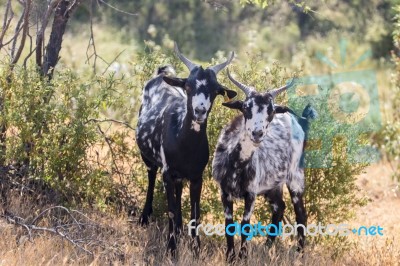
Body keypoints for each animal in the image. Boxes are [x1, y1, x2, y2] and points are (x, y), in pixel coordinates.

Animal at [136, 43, 236, 254]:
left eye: (215, 90)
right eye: (189, 86)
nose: (200, 111)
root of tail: (161, 74)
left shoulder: (197, 176)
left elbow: (195, 213)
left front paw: (195, 248)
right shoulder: (167, 172)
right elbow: (171, 210)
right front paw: (171, 248)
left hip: (180, 175)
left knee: (179, 187)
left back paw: (180, 230)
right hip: (148, 158)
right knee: (151, 176)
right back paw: (145, 218)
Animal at [211, 70, 318, 260]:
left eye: (271, 111)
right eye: (245, 107)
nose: (257, 133)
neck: (237, 164)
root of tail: (299, 122)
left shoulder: (251, 193)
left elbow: (245, 226)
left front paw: (242, 257)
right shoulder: (224, 192)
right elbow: (228, 225)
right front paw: (230, 257)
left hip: (295, 177)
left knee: (301, 215)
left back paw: (299, 254)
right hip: (272, 185)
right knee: (279, 208)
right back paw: (266, 248)